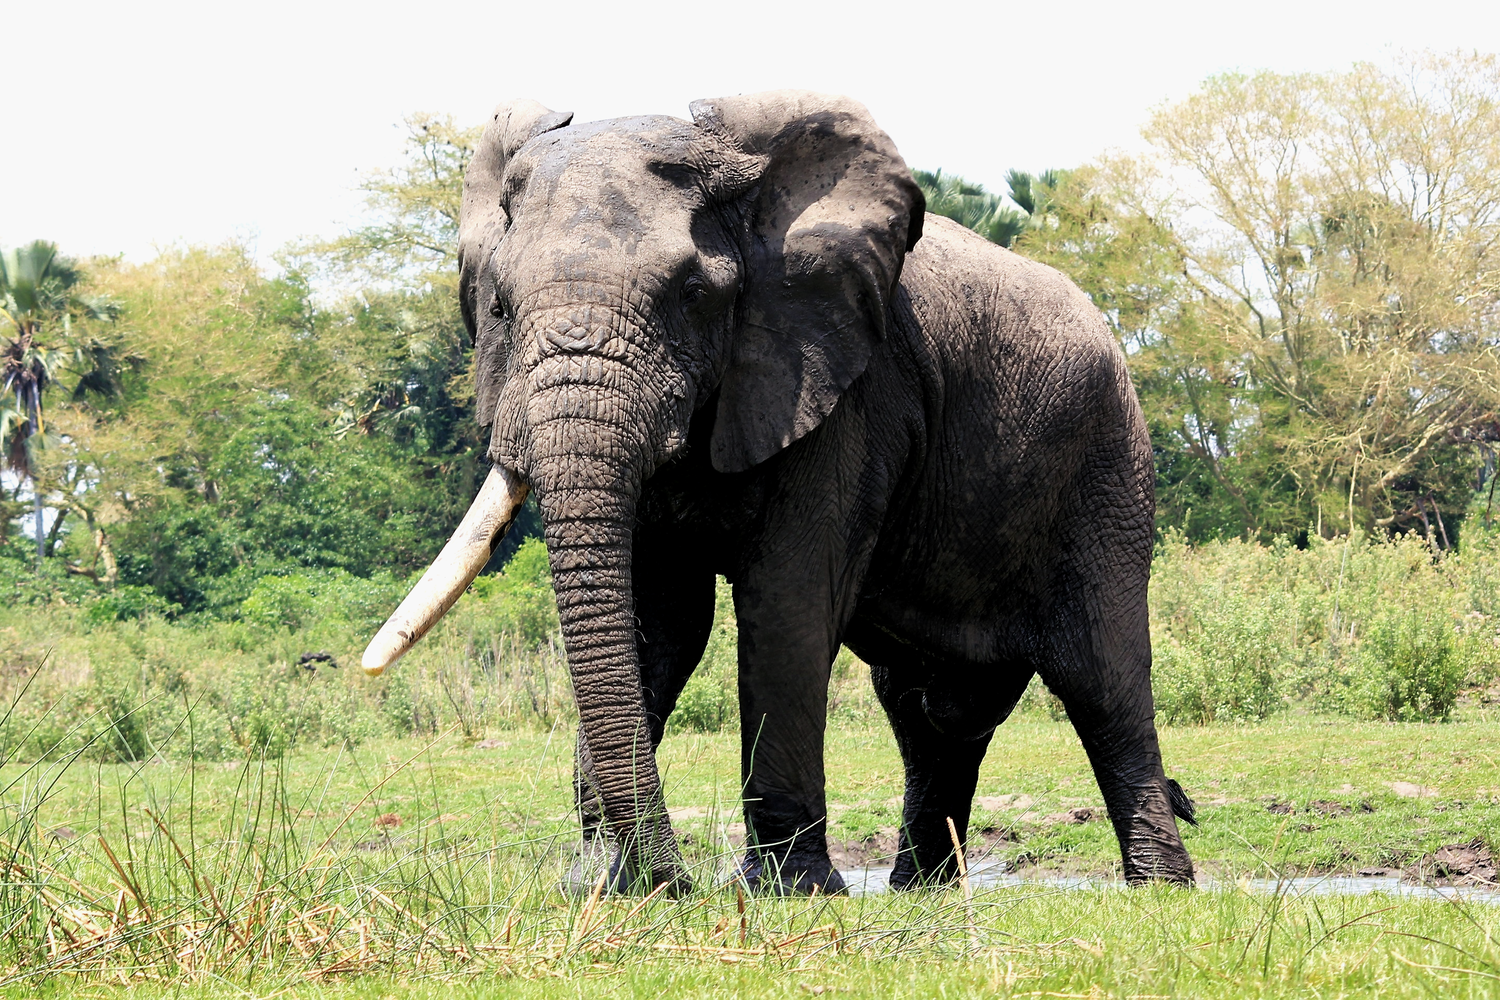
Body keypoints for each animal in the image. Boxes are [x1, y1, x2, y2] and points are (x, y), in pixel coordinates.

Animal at [363, 90, 1197, 895]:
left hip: (1108, 462)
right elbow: (657, 619)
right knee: (927, 707)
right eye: (499, 306)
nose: (675, 880)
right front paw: (601, 885)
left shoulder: (844, 387)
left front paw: (786, 890)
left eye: (691, 293)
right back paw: (921, 889)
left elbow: (786, 603)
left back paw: (1159, 886)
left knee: (1101, 678)